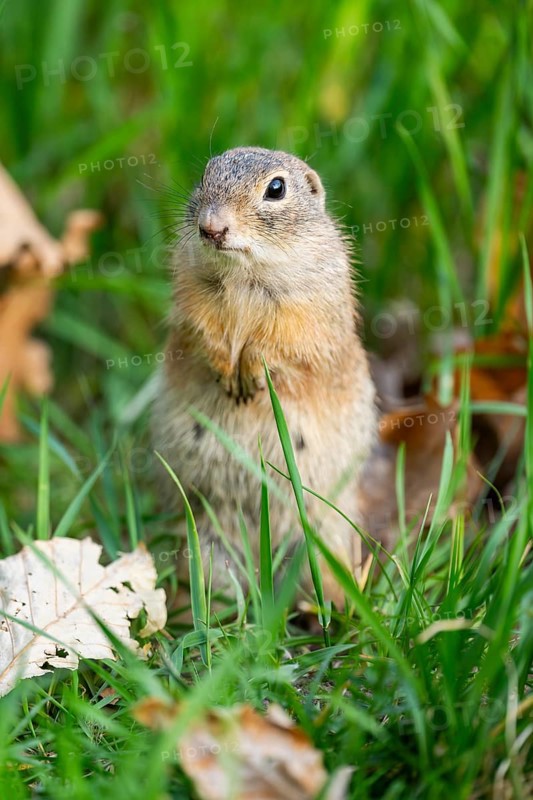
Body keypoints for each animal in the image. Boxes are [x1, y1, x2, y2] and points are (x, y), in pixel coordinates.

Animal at [152, 147, 376, 607]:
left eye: (276, 188)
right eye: (206, 173)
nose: (211, 228)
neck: (243, 272)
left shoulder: (304, 309)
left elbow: (280, 344)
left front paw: (250, 370)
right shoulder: (192, 291)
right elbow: (202, 330)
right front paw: (225, 367)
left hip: (326, 533)